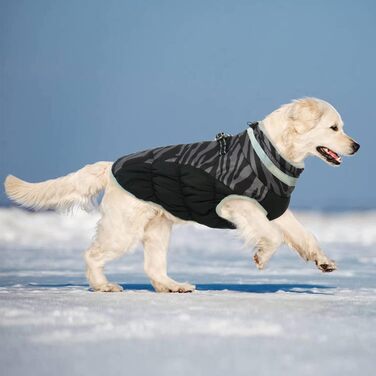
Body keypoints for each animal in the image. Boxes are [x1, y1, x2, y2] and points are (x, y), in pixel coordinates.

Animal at [3, 98, 362, 292]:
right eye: (334, 128)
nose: (357, 145)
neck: (272, 153)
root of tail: (111, 166)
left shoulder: (276, 209)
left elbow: (304, 235)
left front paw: (323, 261)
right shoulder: (237, 204)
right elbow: (270, 236)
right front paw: (261, 256)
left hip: (158, 230)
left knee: (153, 268)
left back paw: (173, 286)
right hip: (123, 229)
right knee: (92, 255)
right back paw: (103, 285)